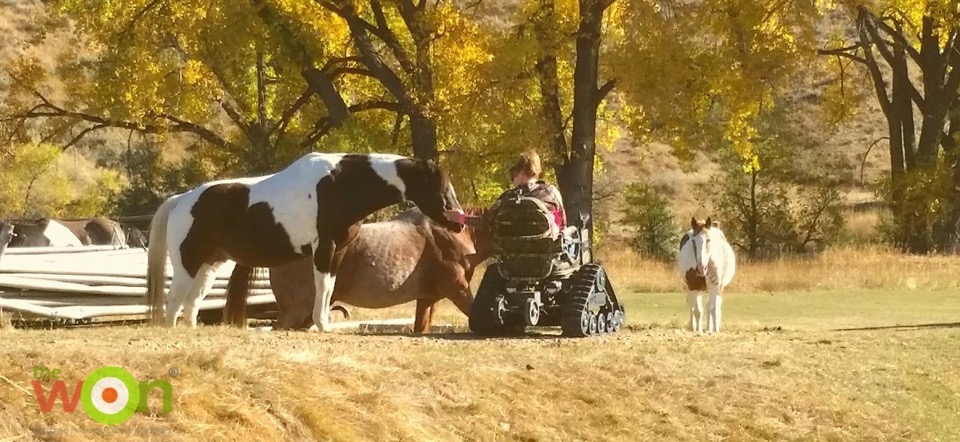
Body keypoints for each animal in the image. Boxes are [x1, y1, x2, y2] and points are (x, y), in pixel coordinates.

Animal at [143, 154, 468, 330]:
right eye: (441, 187)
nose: (459, 220)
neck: (339, 184)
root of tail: (182, 200)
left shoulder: (337, 252)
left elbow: (329, 288)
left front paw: (323, 323)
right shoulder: (324, 249)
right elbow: (322, 287)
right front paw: (322, 325)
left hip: (209, 265)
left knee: (191, 302)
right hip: (188, 262)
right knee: (174, 302)